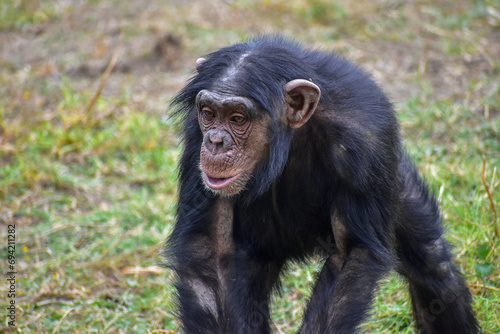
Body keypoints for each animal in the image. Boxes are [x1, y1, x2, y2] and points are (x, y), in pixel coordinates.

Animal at [163, 35, 476, 332]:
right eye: (209, 113)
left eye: (238, 118)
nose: (215, 141)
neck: (292, 137)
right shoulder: (195, 134)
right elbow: (211, 249)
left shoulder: (367, 140)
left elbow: (351, 254)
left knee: (435, 268)